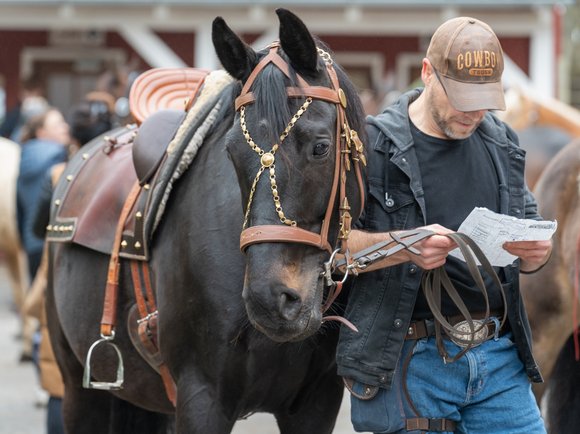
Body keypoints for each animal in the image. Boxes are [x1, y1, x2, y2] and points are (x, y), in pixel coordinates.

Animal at [48, 7, 368, 434]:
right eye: (231, 153)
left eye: (321, 147)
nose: (271, 299)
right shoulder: (202, 398)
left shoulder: (316, 402)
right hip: (80, 390)